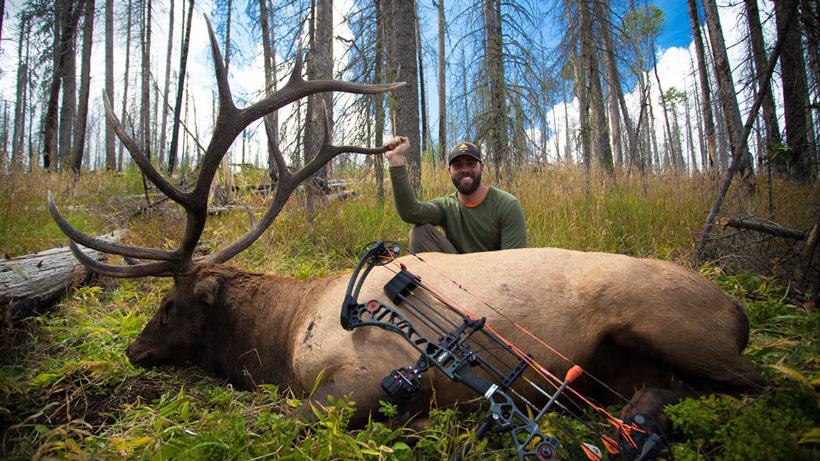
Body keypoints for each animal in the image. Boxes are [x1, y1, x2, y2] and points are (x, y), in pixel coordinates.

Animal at [49, 17, 765, 460]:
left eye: (168, 304)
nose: (135, 351)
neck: (280, 337)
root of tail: (740, 311)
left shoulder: (360, 380)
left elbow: (282, 421)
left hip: (671, 326)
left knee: (758, 387)